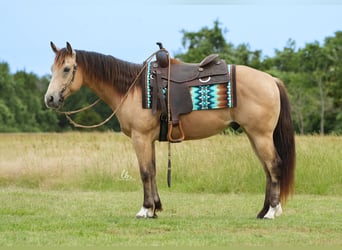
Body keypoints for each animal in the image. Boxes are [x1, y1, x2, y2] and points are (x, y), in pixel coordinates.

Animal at [44, 41, 296, 219]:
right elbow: (153, 171)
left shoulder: (140, 138)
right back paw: (263, 211)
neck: (132, 89)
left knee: (274, 166)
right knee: (267, 170)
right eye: (52, 68)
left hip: (261, 136)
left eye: (66, 69)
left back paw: (272, 212)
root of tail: (271, 80)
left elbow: (145, 172)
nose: (50, 99)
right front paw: (155, 208)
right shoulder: (149, 140)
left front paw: (145, 210)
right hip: (254, 136)